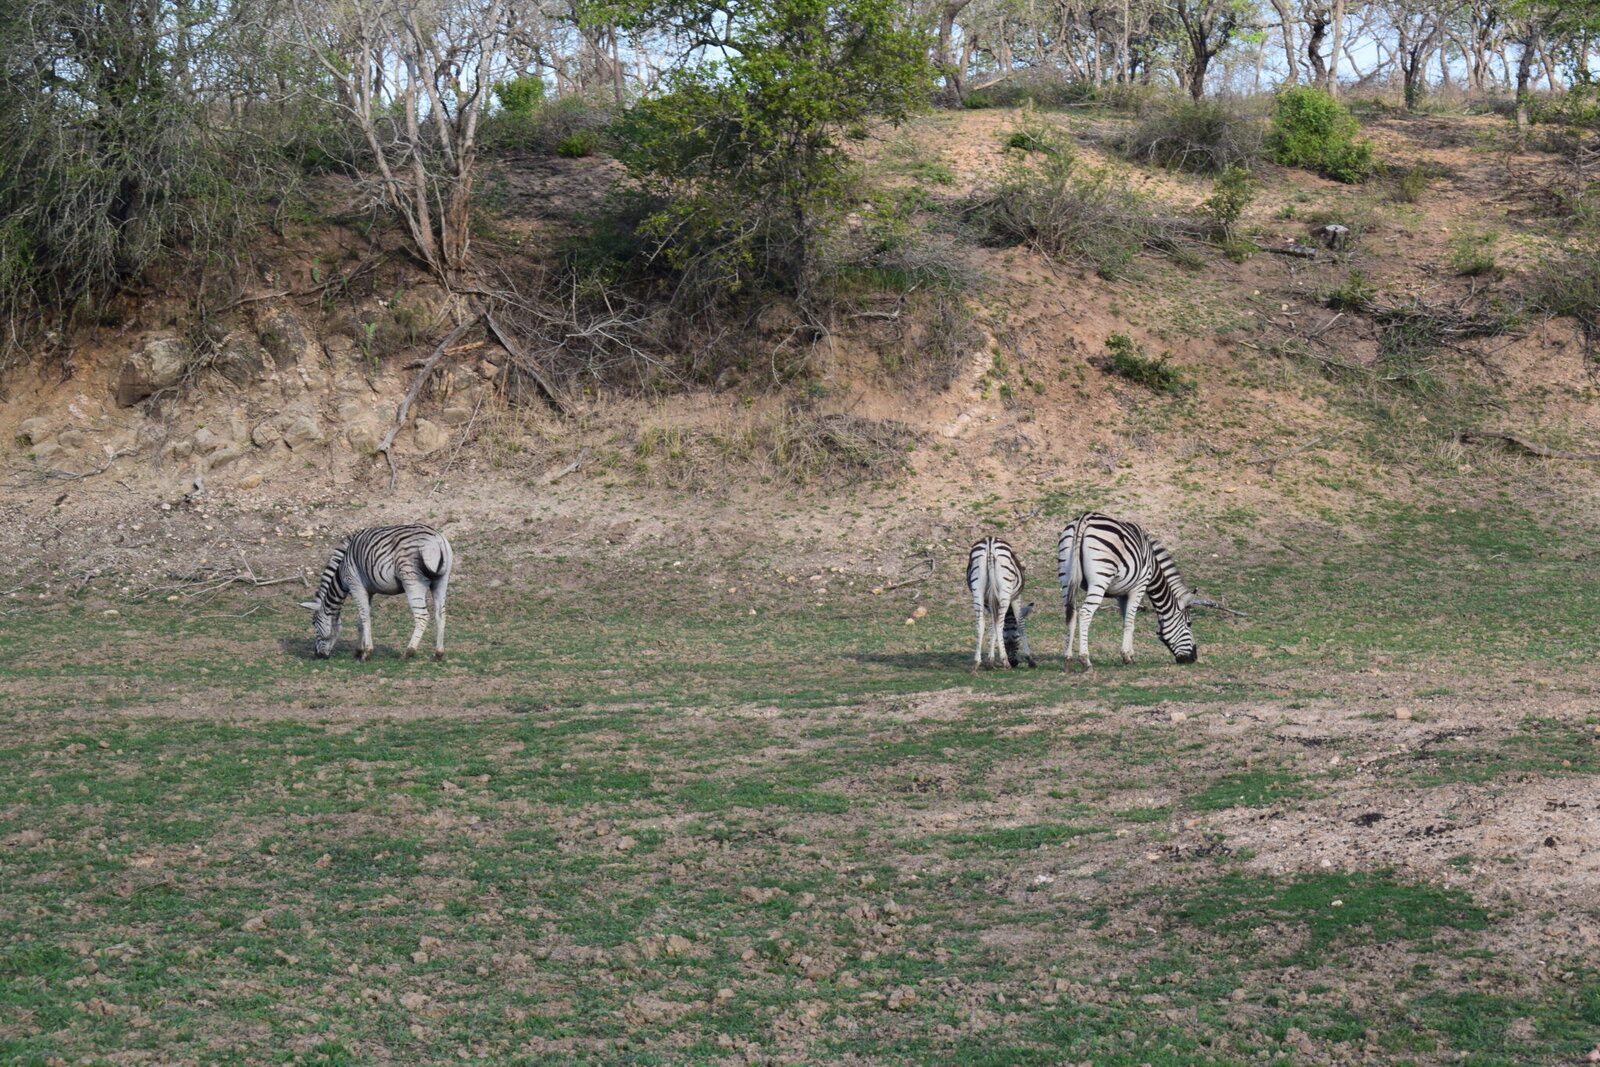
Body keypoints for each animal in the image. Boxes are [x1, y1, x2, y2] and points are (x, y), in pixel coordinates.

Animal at [299, 524, 453, 661]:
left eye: (314, 623)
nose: (317, 655)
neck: (341, 570)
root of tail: (437, 538)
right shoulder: (369, 592)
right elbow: (360, 621)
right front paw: (358, 650)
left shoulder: (356, 585)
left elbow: (365, 618)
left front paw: (366, 653)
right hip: (441, 581)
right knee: (441, 614)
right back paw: (438, 654)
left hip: (412, 582)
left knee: (422, 616)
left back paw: (408, 652)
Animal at [967, 535, 1036, 670]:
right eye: (1017, 638)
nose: (1014, 663)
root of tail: (989, 542)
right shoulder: (1016, 597)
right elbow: (1020, 623)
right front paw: (1030, 659)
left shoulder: (989, 603)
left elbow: (991, 626)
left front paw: (990, 660)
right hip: (1005, 590)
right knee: (999, 621)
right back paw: (1005, 661)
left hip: (977, 590)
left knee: (980, 623)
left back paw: (976, 662)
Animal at [1056, 511, 1218, 670]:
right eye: (1189, 624)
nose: (1193, 658)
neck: (1153, 567)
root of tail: (1084, 519)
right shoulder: (1139, 585)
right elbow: (1131, 621)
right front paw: (1128, 657)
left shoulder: (1121, 594)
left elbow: (1125, 620)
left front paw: (1128, 654)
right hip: (1100, 578)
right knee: (1085, 613)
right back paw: (1085, 660)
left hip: (1066, 576)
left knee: (1071, 613)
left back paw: (1067, 660)